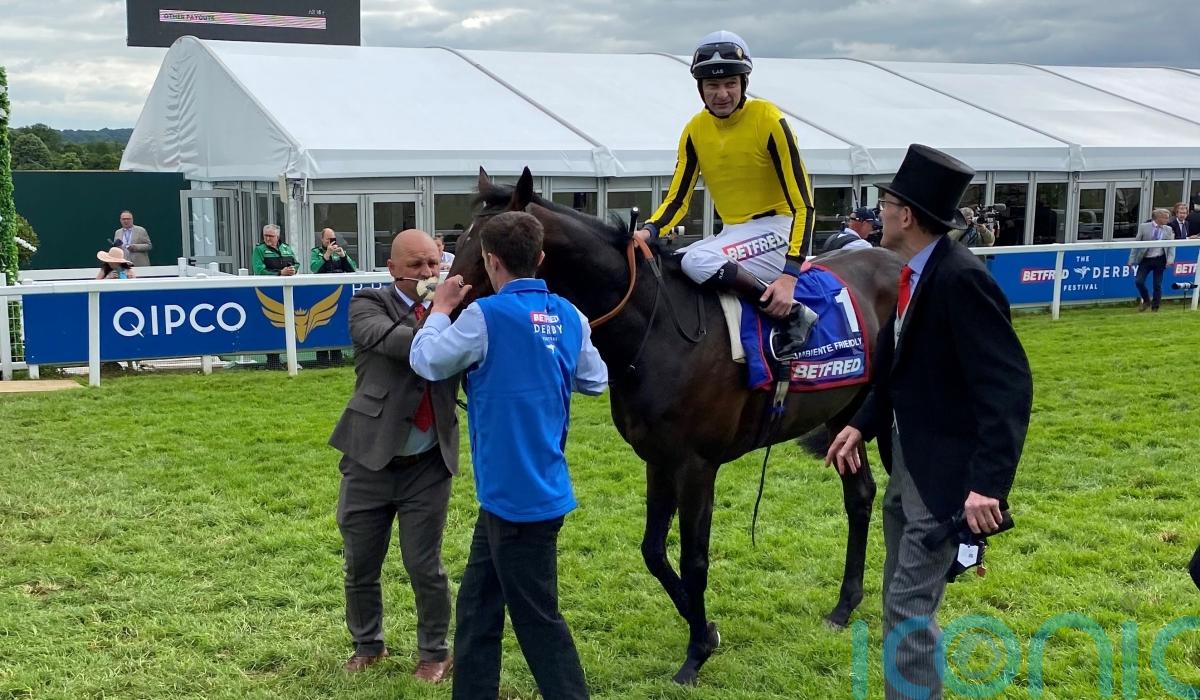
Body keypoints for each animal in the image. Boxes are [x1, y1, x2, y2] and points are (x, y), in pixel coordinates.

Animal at [448, 167, 902, 685]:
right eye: (460, 242)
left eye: (484, 252)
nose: (444, 311)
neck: (657, 330)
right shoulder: (658, 459)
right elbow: (653, 551)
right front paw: (704, 628)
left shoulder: (696, 466)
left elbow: (694, 559)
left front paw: (695, 654)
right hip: (845, 416)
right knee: (860, 496)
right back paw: (844, 605)